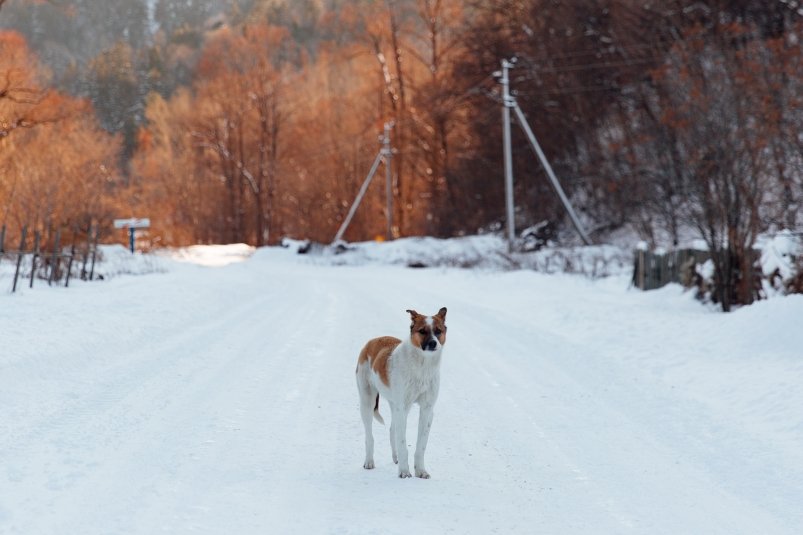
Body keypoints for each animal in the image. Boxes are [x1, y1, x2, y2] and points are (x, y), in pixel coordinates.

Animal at [356, 308, 450, 480]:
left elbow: (421, 446)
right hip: (367, 402)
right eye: (422, 331)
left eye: (438, 331)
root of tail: (372, 341)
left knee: (392, 429)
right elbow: (402, 443)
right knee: (369, 437)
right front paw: (404, 471)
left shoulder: (427, 410)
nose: (433, 343)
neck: (422, 366)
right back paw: (369, 461)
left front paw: (420, 470)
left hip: (395, 406)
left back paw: (396, 458)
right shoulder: (403, 408)